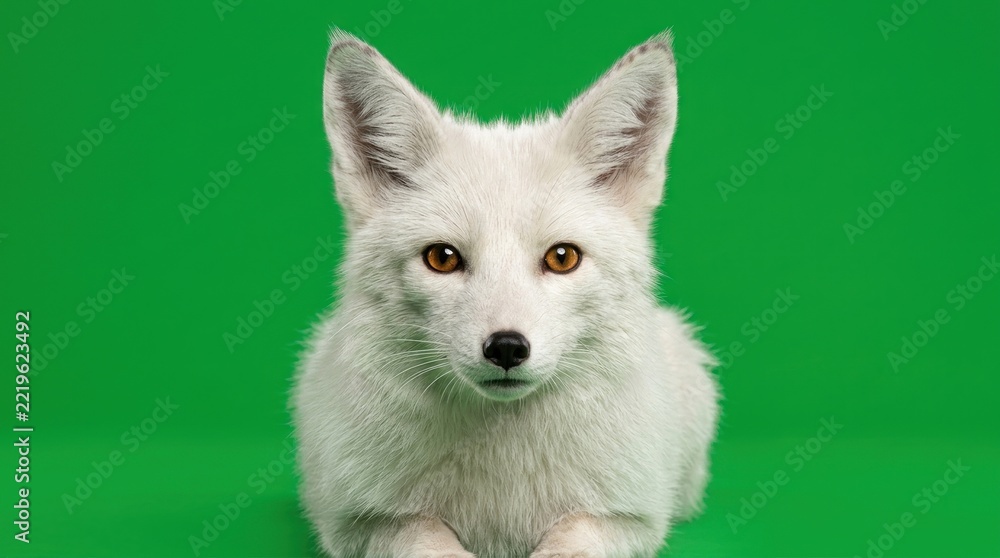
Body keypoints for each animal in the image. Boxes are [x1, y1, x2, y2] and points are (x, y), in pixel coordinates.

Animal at [293, 30, 720, 558]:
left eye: (562, 258)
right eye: (442, 258)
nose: (507, 348)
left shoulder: (628, 517)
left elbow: (569, 544)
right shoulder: (359, 522)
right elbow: (430, 542)